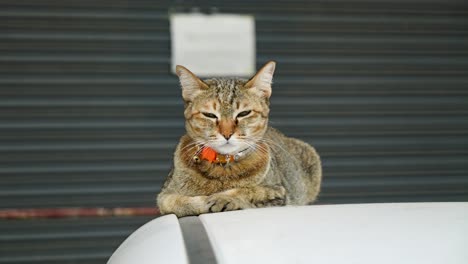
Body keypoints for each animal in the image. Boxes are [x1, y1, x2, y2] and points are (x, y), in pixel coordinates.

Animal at [157, 61, 322, 217]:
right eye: (209, 115)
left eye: (244, 113)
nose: (227, 134)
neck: (223, 166)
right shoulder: (164, 196)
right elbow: (178, 201)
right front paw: (203, 201)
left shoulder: (279, 192)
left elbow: (249, 190)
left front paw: (224, 197)